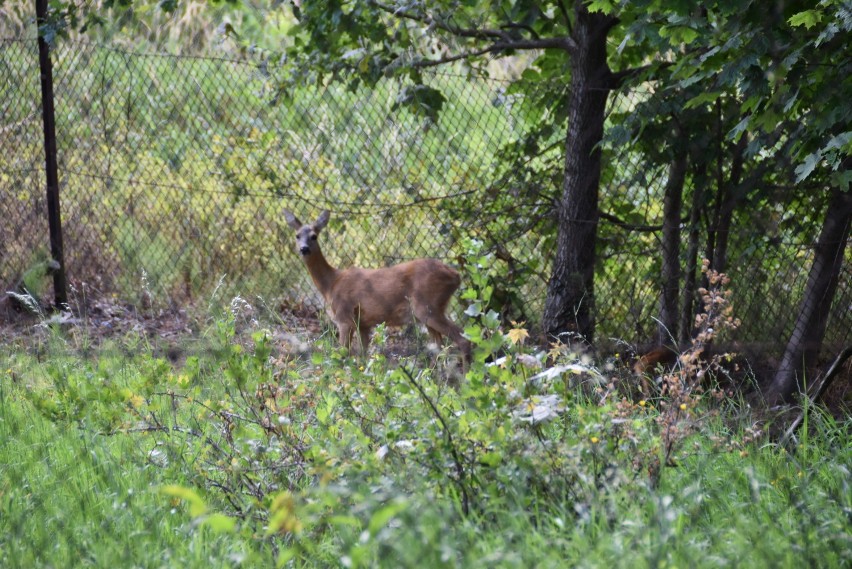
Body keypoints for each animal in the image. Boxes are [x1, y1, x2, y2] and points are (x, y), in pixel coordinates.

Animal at [284, 206, 472, 362]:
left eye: (314, 236)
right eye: (297, 236)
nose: (304, 249)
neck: (332, 283)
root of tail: (455, 276)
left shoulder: (344, 317)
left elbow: (343, 354)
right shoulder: (364, 324)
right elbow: (363, 357)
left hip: (427, 306)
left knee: (463, 340)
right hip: (429, 312)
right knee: (440, 348)